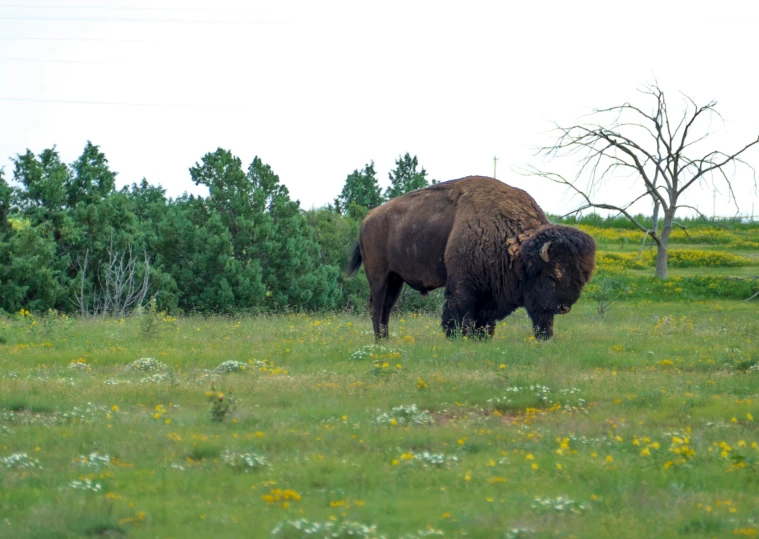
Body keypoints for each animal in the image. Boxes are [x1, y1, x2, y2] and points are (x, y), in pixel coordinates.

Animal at [346, 175, 600, 340]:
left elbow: (485, 320)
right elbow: (457, 313)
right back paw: (379, 340)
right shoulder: (463, 286)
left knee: (387, 307)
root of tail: (368, 218)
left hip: (395, 278)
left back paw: (386, 338)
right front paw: (456, 337)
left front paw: (483, 338)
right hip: (379, 276)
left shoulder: (491, 292)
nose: (563, 307)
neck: (515, 249)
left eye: (581, 279)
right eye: (553, 276)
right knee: (377, 305)